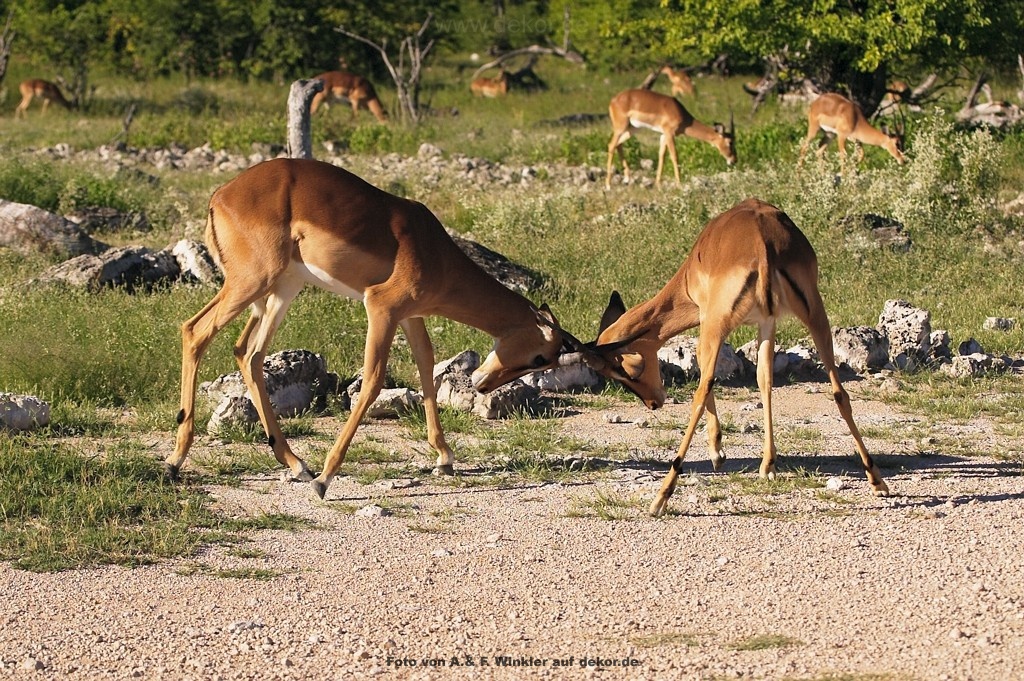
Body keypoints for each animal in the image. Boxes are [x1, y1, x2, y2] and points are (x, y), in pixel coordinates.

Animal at [168, 158, 574, 500]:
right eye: (540, 357)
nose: (484, 385)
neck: (434, 251)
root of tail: (221, 196)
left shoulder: (410, 316)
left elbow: (426, 366)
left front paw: (444, 457)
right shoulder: (381, 307)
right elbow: (374, 380)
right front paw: (325, 480)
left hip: (282, 289)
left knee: (249, 354)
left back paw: (296, 464)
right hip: (253, 283)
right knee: (195, 331)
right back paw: (176, 461)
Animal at [564, 198, 890, 516]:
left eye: (619, 368)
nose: (653, 403)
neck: (690, 274)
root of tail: (763, 245)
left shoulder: (705, 324)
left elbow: (708, 378)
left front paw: (718, 453)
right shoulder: (767, 322)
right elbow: (764, 380)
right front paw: (768, 465)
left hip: (716, 326)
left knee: (701, 390)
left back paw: (661, 498)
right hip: (816, 316)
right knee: (839, 392)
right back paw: (876, 480)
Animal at [606, 88, 736, 190]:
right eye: (730, 142)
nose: (734, 160)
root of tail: (613, 100)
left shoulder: (663, 135)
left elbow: (662, 156)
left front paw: (658, 185)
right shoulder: (669, 133)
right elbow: (674, 156)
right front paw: (679, 184)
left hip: (632, 129)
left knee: (618, 144)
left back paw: (627, 179)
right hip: (620, 127)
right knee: (611, 145)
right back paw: (608, 185)